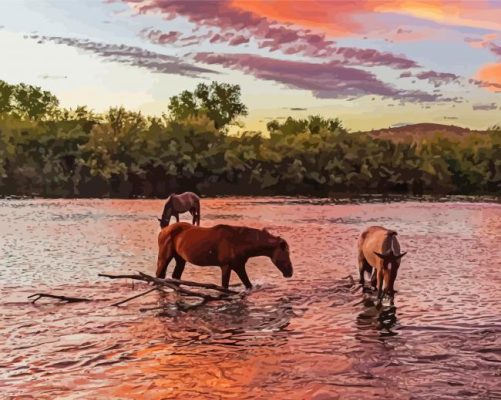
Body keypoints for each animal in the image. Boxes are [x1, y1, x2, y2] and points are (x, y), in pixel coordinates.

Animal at [154, 222, 292, 290]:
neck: (240, 242)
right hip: (165, 256)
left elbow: (248, 284)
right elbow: (225, 286)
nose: (290, 272)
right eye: (286, 254)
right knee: (159, 275)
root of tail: (162, 231)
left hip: (180, 259)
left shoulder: (239, 266)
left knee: (175, 276)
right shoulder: (226, 266)